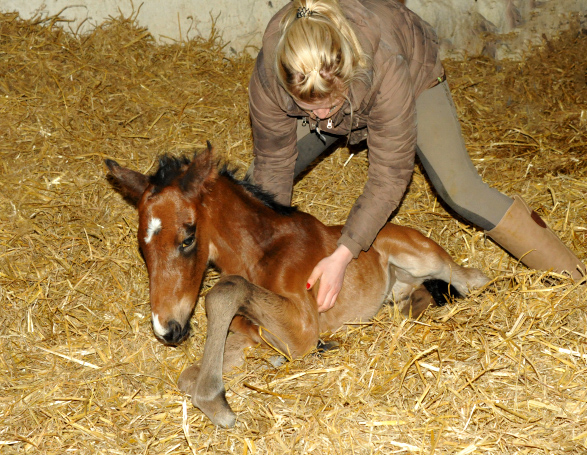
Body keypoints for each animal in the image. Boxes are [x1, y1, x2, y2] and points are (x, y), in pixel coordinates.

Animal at [107, 145, 492, 428]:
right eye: (142, 247)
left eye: (187, 239)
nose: (167, 329)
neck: (261, 252)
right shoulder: (250, 334)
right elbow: (189, 374)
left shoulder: (303, 326)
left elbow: (225, 291)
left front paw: (215, 402)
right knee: (418, 296)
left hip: (423, 258)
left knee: (470, 277)